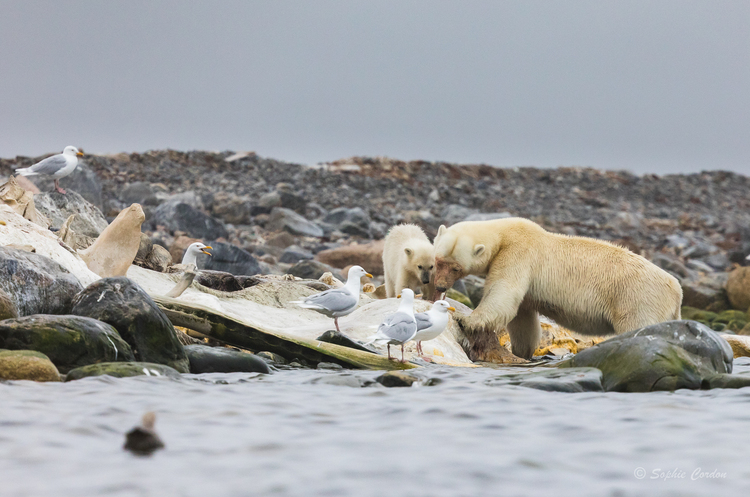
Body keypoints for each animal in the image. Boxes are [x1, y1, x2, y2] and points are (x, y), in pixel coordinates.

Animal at [434, 217, 688, 360]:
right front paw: (521, 352)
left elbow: (503, 293)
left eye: (455, 267)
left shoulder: (518, 254)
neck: (505, 233)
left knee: (638, 325)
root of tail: (677, 290)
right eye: (437, 261)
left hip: (637, 298)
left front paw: (467, 320)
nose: (439, 285)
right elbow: (523, 318)